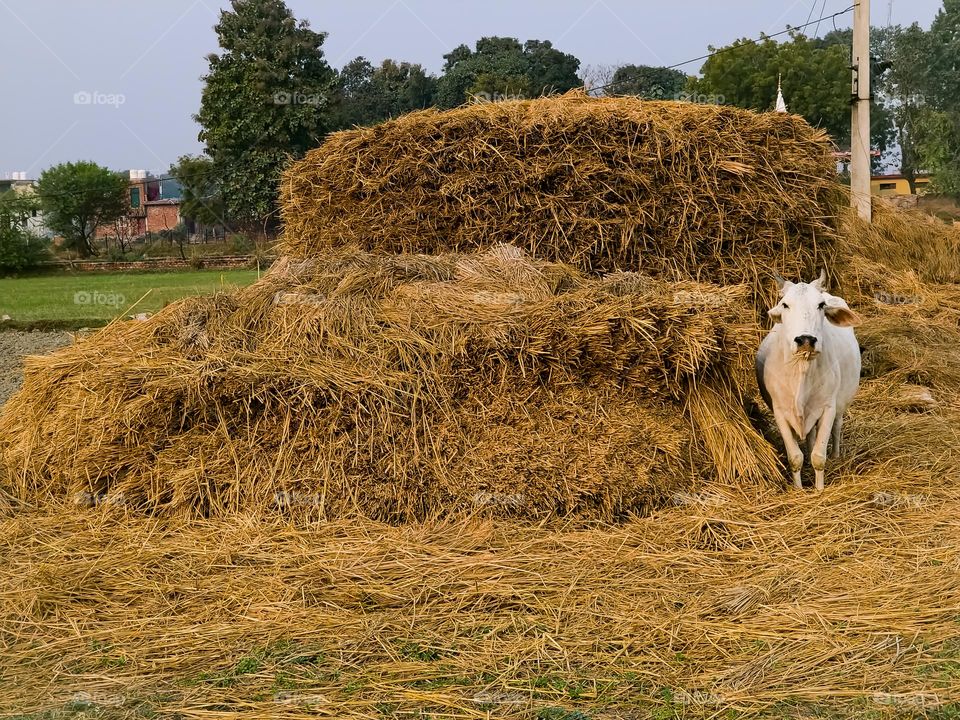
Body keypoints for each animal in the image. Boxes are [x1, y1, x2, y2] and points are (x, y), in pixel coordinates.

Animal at [756, 270, 864, 490]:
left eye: (821, 305)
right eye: (785, 304)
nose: (806, 339)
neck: (802, 370)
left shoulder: (828, 407)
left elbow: (819, 456)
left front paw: (819, 489)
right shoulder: (779, 411)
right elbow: (794, 457)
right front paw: (798, 489)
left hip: (841, 403)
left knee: (837, 426)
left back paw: (836, 455)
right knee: (810, 437)